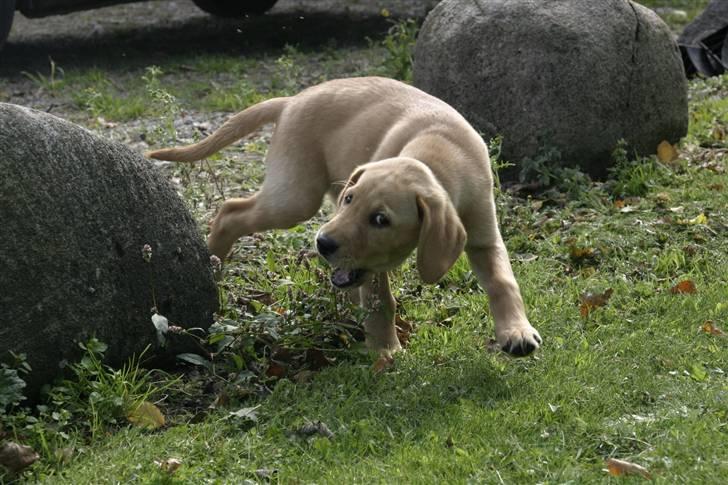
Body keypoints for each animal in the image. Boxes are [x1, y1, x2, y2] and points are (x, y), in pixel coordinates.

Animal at [148, 75, 544, 356]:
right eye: (350, 200)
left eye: (381, 220)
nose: (323, 244)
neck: (440, 154)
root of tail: (292, 101)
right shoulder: (370, 266)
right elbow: (381, 303)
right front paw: (388, 353)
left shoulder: (484, 237)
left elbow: (503, 282)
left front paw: (516, 332)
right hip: (294, 197)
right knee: (231, 211)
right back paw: (213, 263)